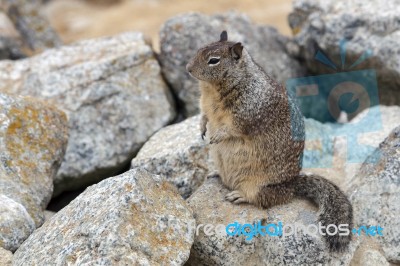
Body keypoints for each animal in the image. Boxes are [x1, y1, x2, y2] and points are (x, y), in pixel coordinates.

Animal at [187, 30, 354, 251]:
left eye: (214, 60)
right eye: (199, 49)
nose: (188, 69)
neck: (212, 89)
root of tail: (292, 185)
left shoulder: (248, 111)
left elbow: (233, 127)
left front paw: (217, 135)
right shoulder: (204, 104)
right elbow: (204, 115)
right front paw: (202, 127)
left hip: (259, 185)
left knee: (265, 198)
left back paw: (239, 195)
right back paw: (216, 173)